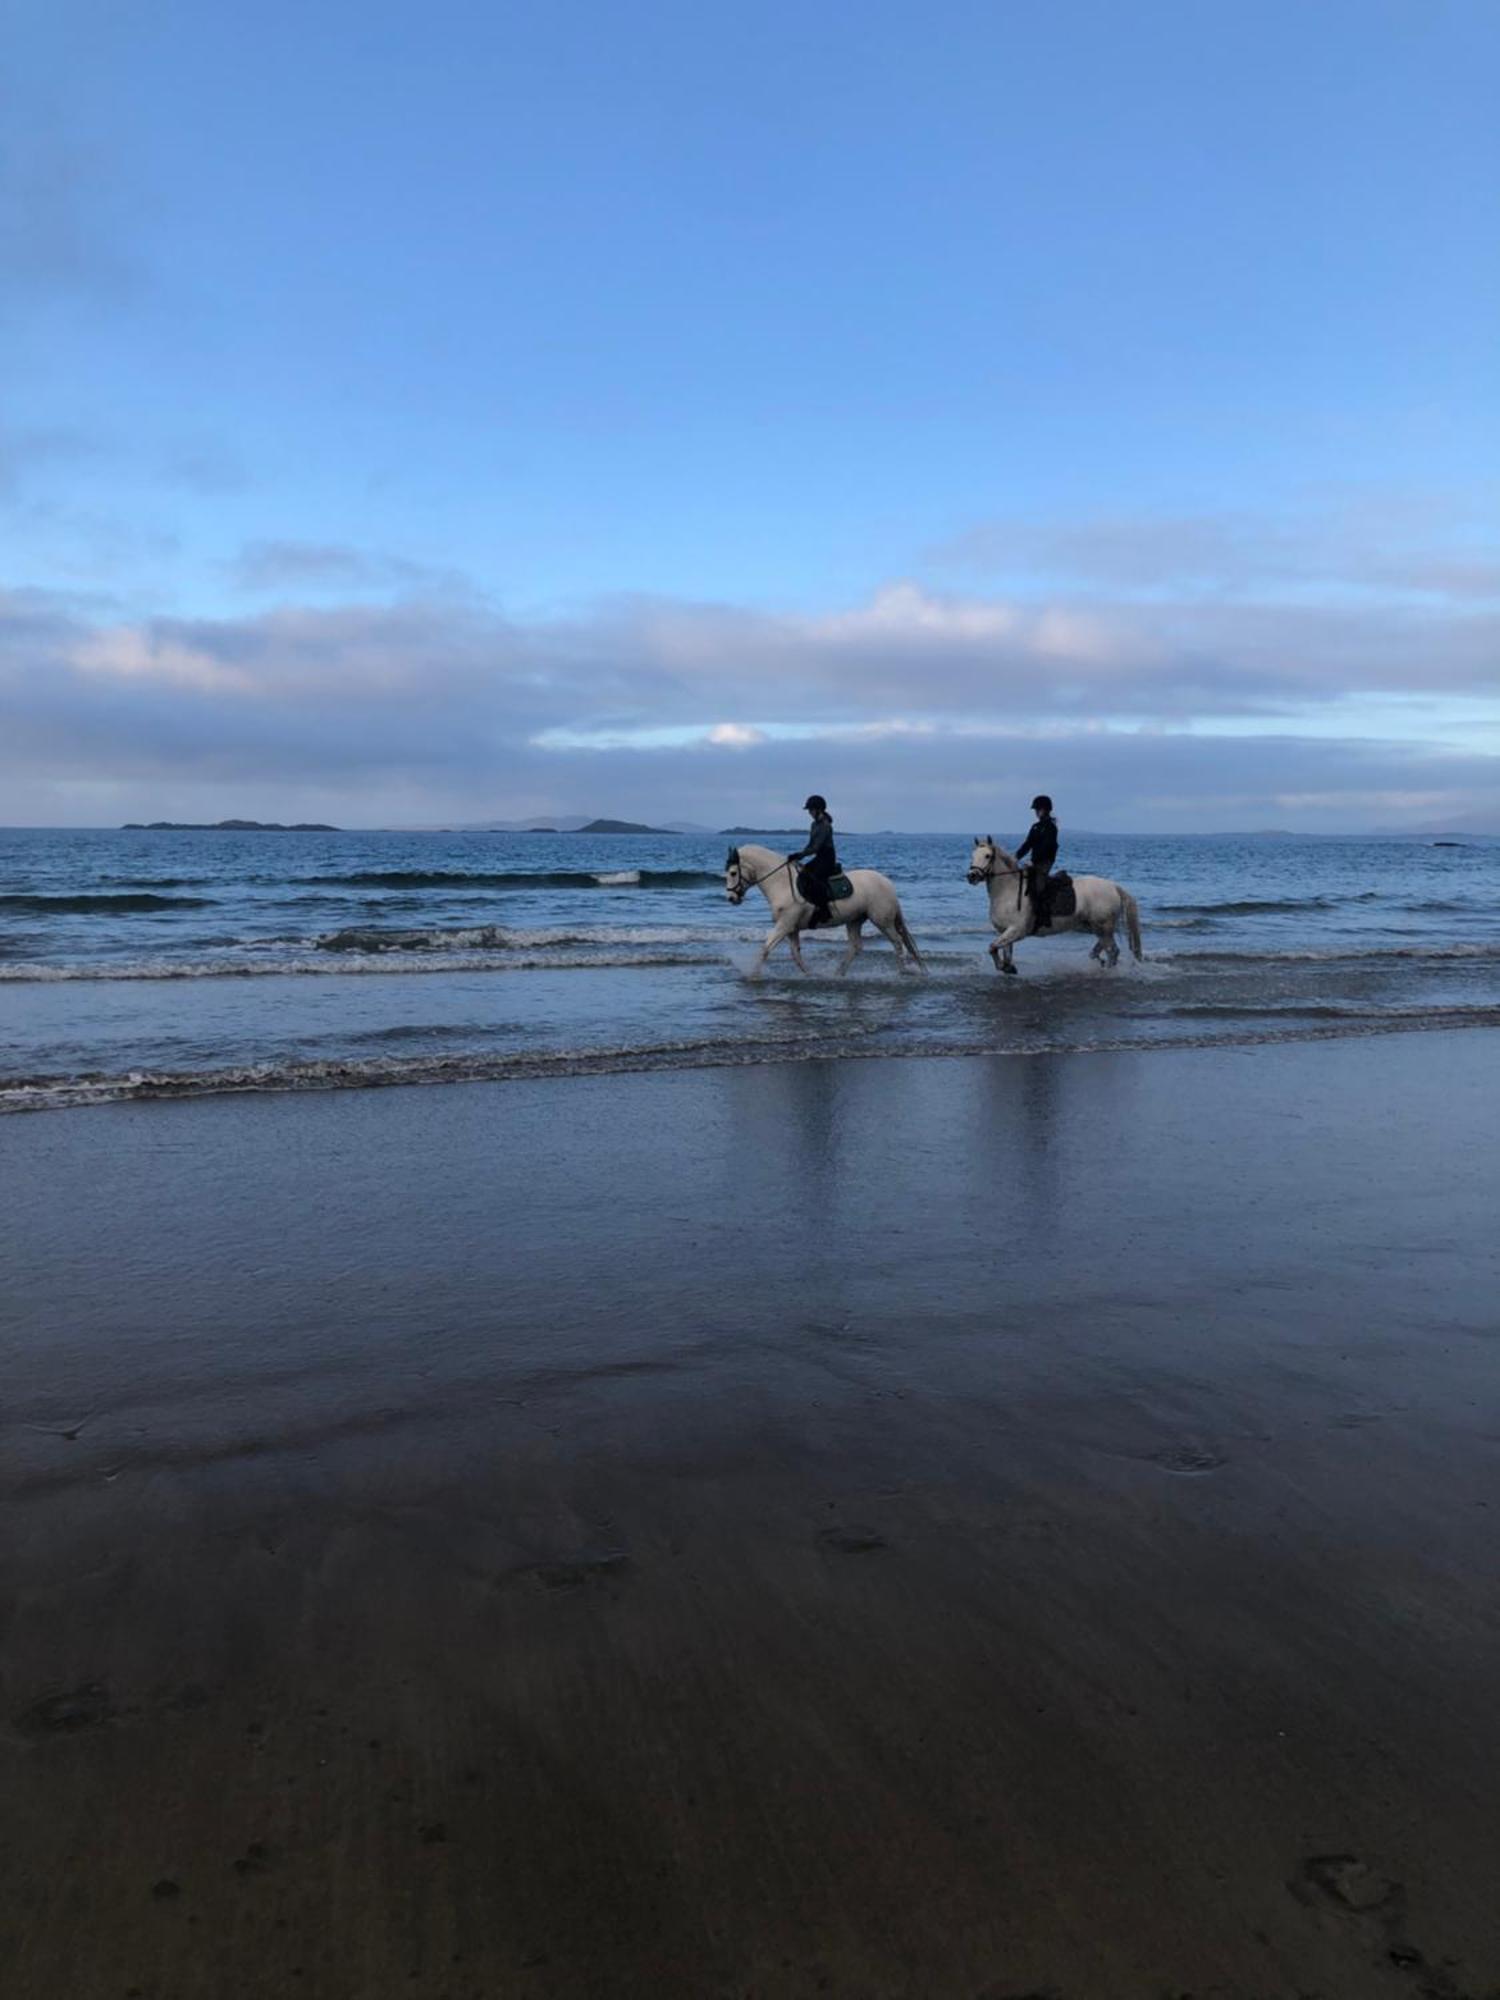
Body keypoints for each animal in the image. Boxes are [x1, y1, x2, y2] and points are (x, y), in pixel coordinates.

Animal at [728, 836, 928, 976]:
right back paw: (839, 973)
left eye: (732, 872)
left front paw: (753, 975)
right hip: (854, 920)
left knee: (897, 942)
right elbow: (795, 955)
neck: (782, 883)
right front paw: (810, 975)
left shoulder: (784, 925)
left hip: (882, 920)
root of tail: (887, 883)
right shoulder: (791, 928)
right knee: (856, 947)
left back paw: (901, 972)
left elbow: (766, 949)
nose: (731, 898)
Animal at [968, 836, 1144, 976]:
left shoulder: (1017, 931)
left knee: (1113, 951)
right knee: (1103, 947)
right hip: (1095, 927)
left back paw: (1107, 971)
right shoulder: (1005, 931)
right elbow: (1005, 951)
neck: (1008, 891)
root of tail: (1113, 886)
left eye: (987, 856)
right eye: (972, 856)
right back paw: (1098, 961)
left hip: (1103, 926)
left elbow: (992, 947)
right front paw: (1008, 967)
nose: (971, 876)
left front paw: (1004, 967)